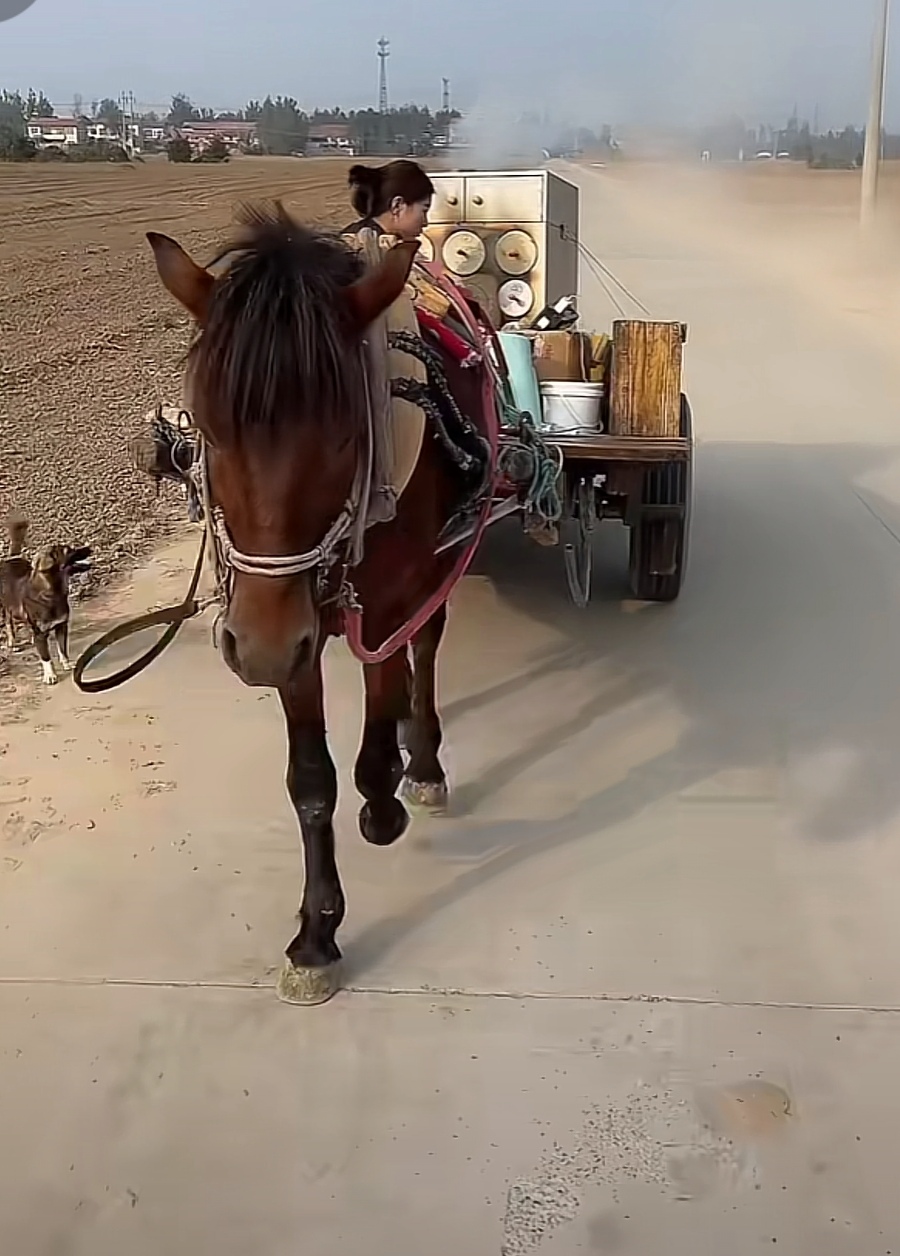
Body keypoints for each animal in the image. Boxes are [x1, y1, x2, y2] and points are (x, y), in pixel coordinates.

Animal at [146, 203, 497, 1004]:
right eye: (207, 432)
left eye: (344, 435)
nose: (261, 648)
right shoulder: (288, 627)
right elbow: (311, 781)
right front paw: (315, 934)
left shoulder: (383, 606)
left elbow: (375, 735)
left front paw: (386, 798)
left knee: (426, 646)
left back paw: (422, 760)